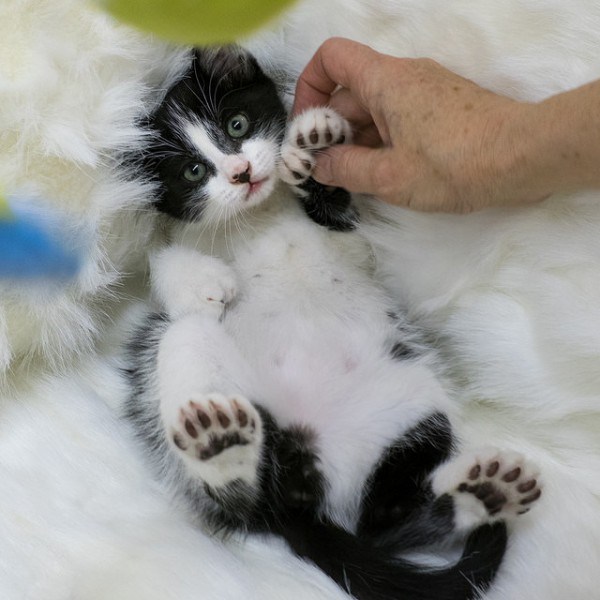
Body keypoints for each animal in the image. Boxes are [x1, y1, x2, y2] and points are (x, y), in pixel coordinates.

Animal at [122, 47, 540, 600]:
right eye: (192, 171)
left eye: (237, 124)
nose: (239, 172)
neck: (260, 216)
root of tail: (300, 467)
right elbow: (159, 261)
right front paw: (202, 281)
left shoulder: (358, 250)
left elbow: (345, 224)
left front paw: (314, 145)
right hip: (200, 381)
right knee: (237, 494)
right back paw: (220, 449)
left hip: (414, 407)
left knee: (381, 523)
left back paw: (480, 496)